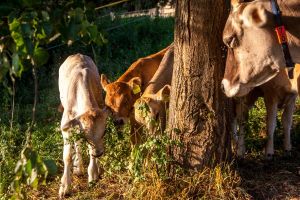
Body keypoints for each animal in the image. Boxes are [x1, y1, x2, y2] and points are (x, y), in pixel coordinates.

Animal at [58, 54, 108, 198]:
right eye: (87, 137)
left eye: (104, 132)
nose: (99, 153)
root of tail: (76, 54)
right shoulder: (66, 126)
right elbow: (67, 156)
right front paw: (65, 187)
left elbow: (91, 151)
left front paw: (93, 174)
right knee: (77, 142)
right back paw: (78, 168)